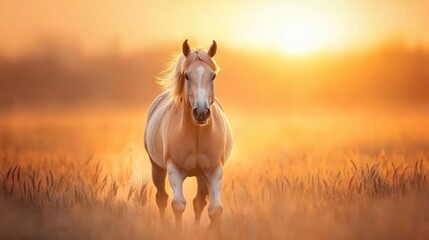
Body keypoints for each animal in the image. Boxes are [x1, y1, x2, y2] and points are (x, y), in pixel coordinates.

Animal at [144, 39, 232, 227]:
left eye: (213, 76)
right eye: (186, 75)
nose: (201, 112)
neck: (196, 133)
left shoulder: (214, 170)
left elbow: (215, 209)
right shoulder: (174, 168)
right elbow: (178, 205)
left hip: (202, 176)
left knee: (198, 202)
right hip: (157, 168)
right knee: (161, 198)